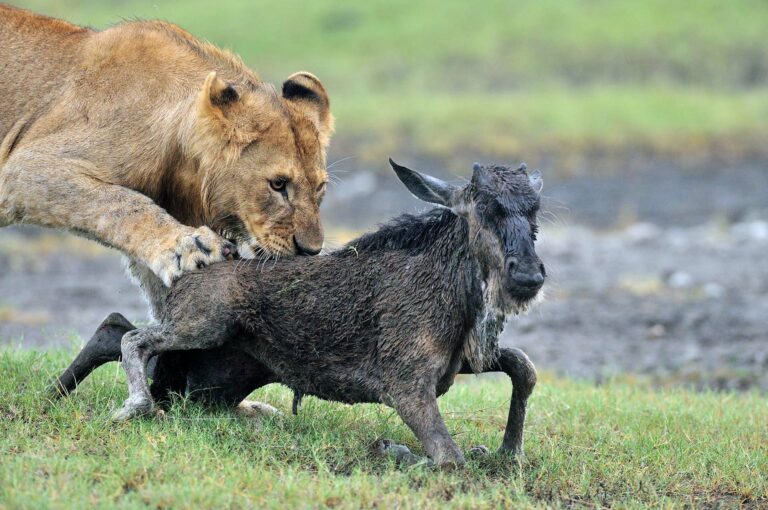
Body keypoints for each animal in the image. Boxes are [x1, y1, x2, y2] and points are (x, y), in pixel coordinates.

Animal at [0, 4, 332, 318]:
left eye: (319, 188)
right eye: (277, 184)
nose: (310, 250)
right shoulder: (26, 167)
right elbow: (121, 203)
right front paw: (190, 247)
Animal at [61, 159, 544, 466]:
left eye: (535, 215)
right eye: (484, 209)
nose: (529, 275)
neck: (455, 291)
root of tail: (180, 277)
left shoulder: (464, 361)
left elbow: (524, 367)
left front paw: (507, 452)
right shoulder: (405, 385)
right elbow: (448, 459)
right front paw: (395, 450)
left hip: (207, 378)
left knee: (114, 328)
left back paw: (55, 392)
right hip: (204, 324)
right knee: (132, 338)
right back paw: (130, 406)